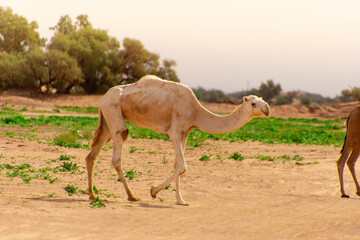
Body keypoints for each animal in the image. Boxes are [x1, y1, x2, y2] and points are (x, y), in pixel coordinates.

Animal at [85, 74, 270, 204]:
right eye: (253, 103)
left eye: (263, 100)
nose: (267, 108)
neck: (197, 112)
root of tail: (104, 97)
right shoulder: (174, 132)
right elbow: (182, 166)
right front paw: (153, 191)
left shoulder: (185, 133)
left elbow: (177, 165)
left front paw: (180, 200)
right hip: (113, 110)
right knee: (119, 146)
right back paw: (132, 196)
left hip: (106, 120)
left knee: (92, 154)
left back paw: (92, 194)